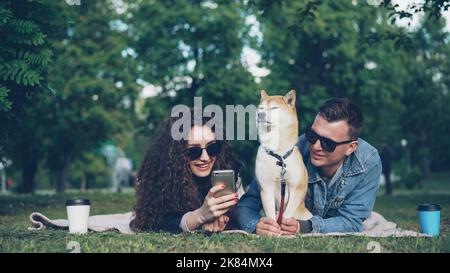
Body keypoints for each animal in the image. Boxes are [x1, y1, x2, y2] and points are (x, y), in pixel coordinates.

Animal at [255, 90, 312, 222]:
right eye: (261, 108)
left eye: (275, 108)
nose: (260, 114)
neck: (278, 155)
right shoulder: (266, 188)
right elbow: (271, 217)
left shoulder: (297, 188)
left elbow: (286, 215)